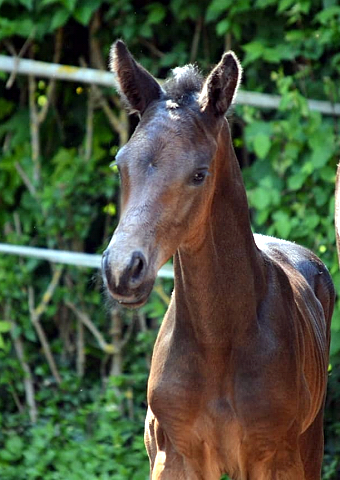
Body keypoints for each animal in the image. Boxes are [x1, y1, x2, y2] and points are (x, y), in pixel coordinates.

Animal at [101, 39, 334, 478]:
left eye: (199, 173)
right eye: (120, 164)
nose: (122, 269)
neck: (218, 340)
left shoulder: (270, 458)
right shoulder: (174, 456)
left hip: (309, 447)